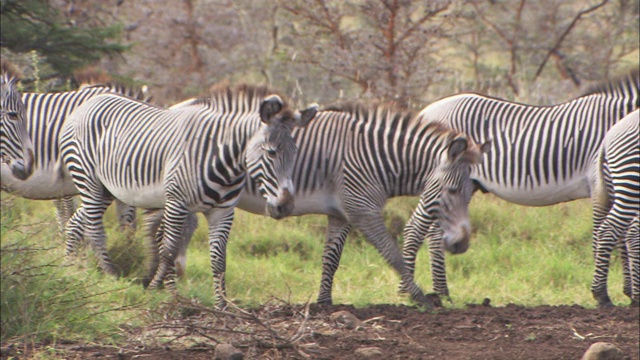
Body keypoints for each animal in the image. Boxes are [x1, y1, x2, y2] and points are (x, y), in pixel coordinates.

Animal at [59, 84, 318, 310]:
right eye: (271, 152)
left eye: (295, 153)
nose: (285, 206)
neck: (225, 161)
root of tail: (87, 103)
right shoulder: (176, 203)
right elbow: (169, 251)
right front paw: (162, 292)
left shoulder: (223, 211)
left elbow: (219, 260)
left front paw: (222, 305)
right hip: (89, 180)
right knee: (94, 229)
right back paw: (111, 275)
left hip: (106, 189)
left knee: (76, 222)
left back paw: (70, 269)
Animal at [148, 100, 492, 306]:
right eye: (451, 191)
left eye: (472, 194)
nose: (462, 244)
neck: (375, 159)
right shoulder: (362, 209)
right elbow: (391, 254)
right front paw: (419, 297)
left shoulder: (341, 214)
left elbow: (331, 259)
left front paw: (324, 302)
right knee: (163, 230)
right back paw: (161, 285)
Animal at [410, 70, 640, 298]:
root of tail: (425, 111)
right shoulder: (599, 182)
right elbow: (613, 234)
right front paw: (610, 291)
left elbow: (623, 236)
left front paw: (628, 290)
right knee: (428, 231)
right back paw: (439, 293)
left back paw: (440, 291)